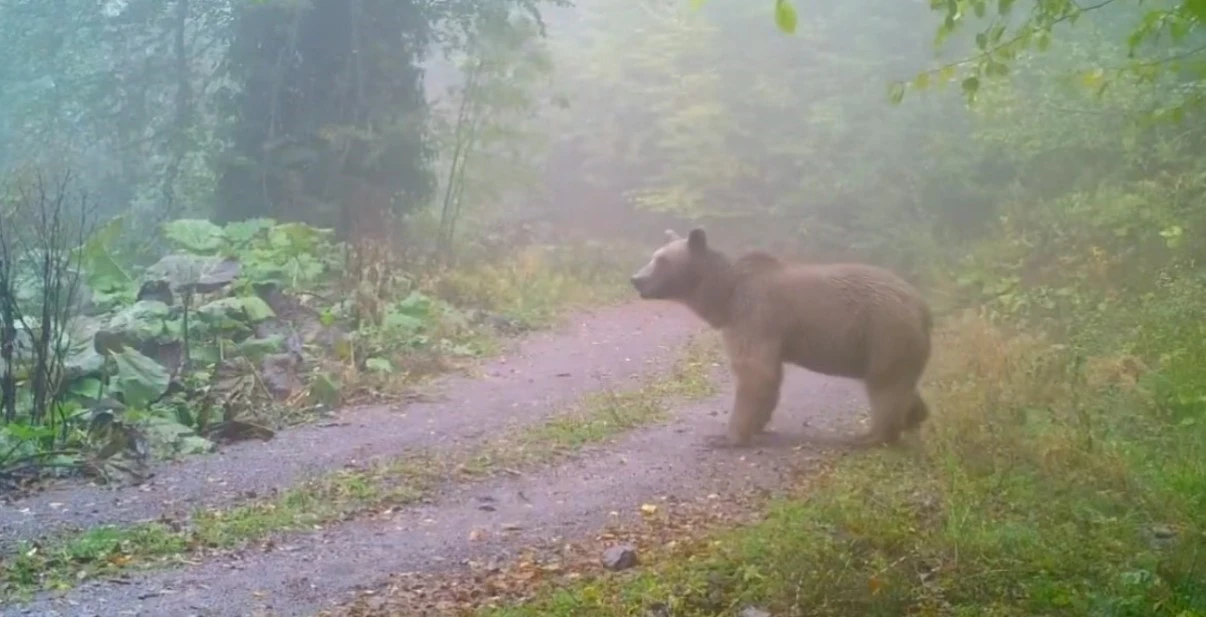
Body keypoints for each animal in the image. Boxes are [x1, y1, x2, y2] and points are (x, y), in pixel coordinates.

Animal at [631, 228, 931, 450]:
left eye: (662, 260)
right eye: (653, 256)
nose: (636, 279)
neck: (724, 296)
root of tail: (922, 306)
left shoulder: (753, 315)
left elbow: (755, 371)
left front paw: (725, 436)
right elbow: (768, 378)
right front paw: (758, 425)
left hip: (884, 332)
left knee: (885, 385)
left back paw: (870, 436)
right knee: (900, 383)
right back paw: (915, 417)